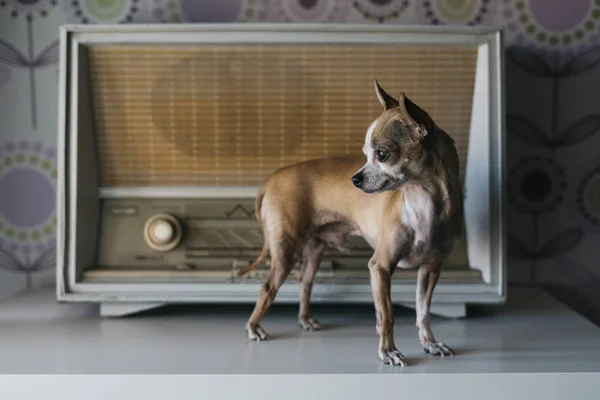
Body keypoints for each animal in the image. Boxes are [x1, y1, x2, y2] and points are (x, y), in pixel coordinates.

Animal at [237, 79, 462, 368]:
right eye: (365, 155)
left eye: (382, 154)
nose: (354, 179)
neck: (422, 201)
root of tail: (271, 178)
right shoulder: (380, 267)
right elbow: (387, 315)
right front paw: (389, 351)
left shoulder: (430, 269)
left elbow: (423, 311)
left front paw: (430, 344)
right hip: (285, 250)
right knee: (267, 288)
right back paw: (254, 327)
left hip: (314, 251)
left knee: (304, 282)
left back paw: (304, 320)